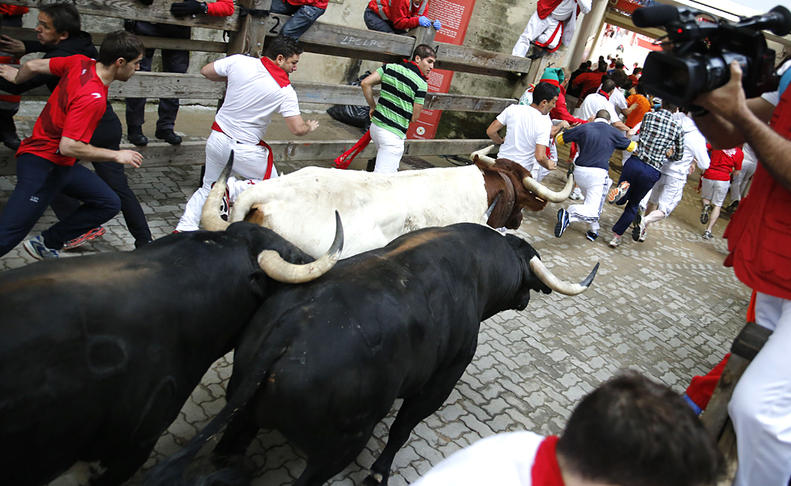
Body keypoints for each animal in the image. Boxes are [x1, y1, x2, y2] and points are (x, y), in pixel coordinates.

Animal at [145, 224, 596, 486]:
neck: (478, 269)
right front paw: (379, 473)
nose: (529, 297)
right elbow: (402, 429)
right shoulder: (439, 383)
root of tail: (289, 332)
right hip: (339, 445)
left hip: (244, 415)